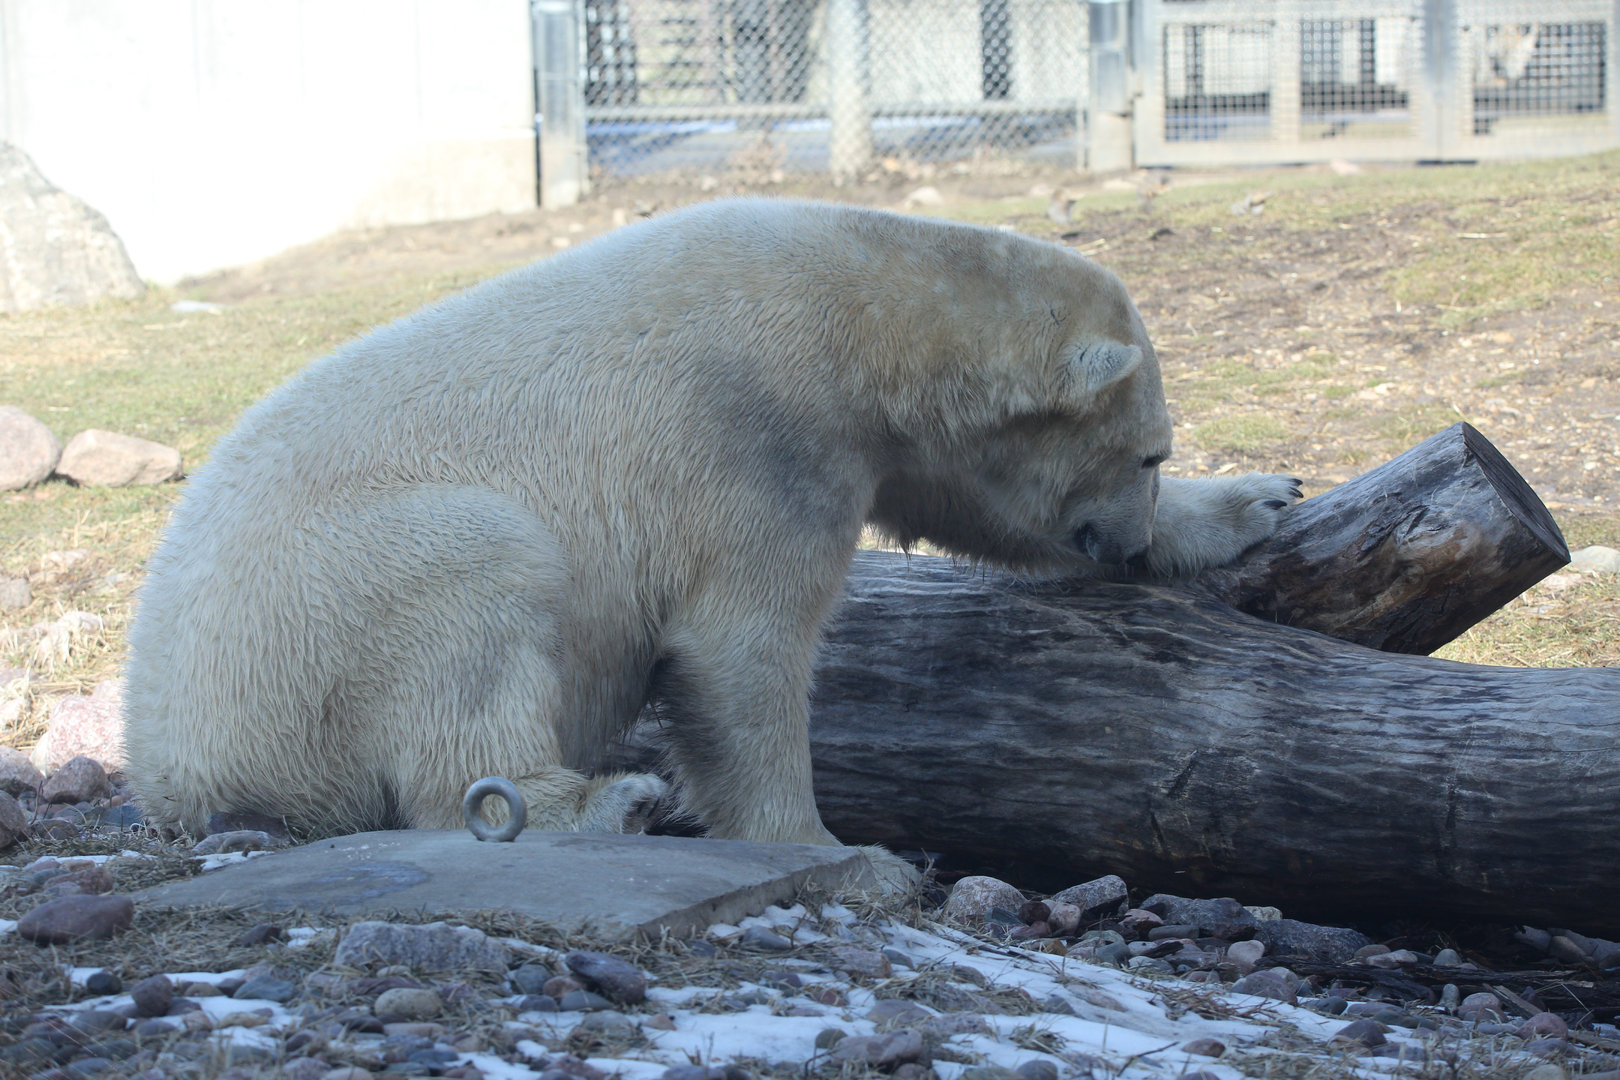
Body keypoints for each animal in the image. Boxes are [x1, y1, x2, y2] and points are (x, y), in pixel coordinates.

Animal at [122, 198, 1299, 863]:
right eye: (1143, 454)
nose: (1124, 542)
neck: (864, 310)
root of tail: (169, 765)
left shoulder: (871, 441)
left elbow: (966, 507)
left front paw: (1255, 502)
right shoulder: (754, 430)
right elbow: (740, 651)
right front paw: (834, 849)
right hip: (323, 604)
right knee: (478, 600)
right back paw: (595, 804)